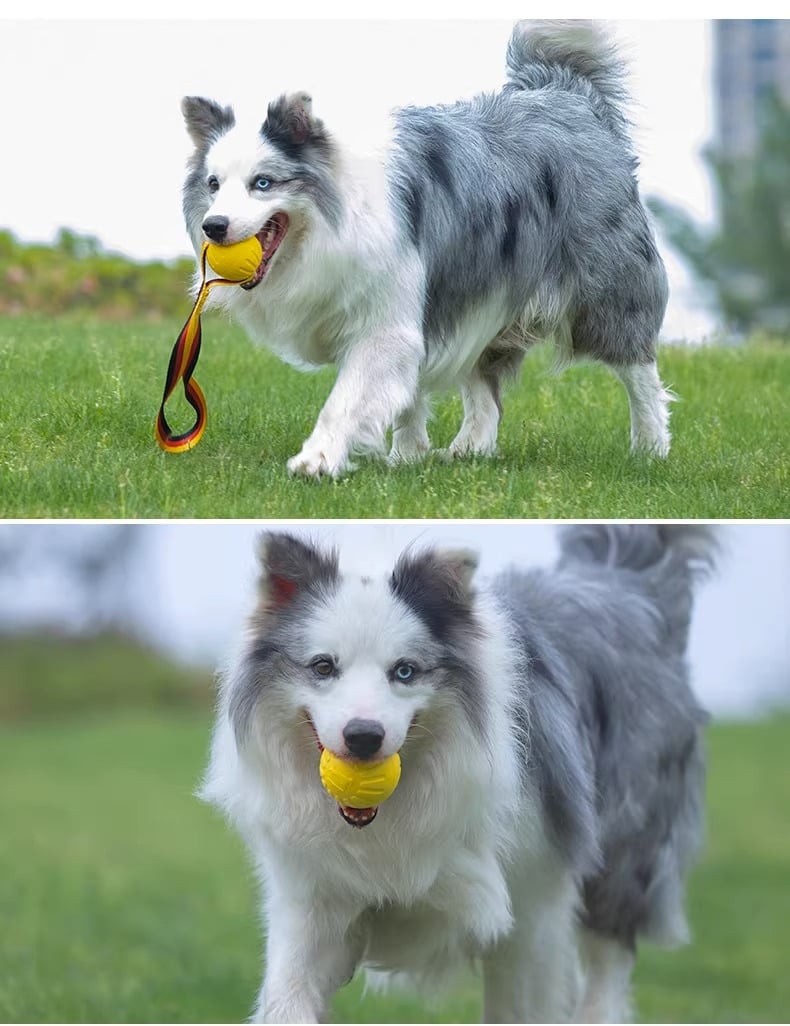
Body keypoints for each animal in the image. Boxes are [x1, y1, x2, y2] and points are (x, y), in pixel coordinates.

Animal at [180, 20, 673, 476]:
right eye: (213, 184)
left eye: (263, 183)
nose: (213, 227)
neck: (331, 219)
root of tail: (566, 93)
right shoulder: (412, 304)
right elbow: (408, 390)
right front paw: (409, 455)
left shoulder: (387, 316)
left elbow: (347, 398)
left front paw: (317, 459)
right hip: (482, 290)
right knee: (484, 380)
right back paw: (471, 448)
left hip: (607, 289)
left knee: (638, 367)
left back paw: (650, 448)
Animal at [199, 525, 714, 1021]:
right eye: (323, 666)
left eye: (405, 671)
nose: (363, 737)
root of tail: (626, 580)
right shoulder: (313, 902)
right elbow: (288, 997)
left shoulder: (531, 904)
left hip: (625, 851)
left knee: (609, 960)